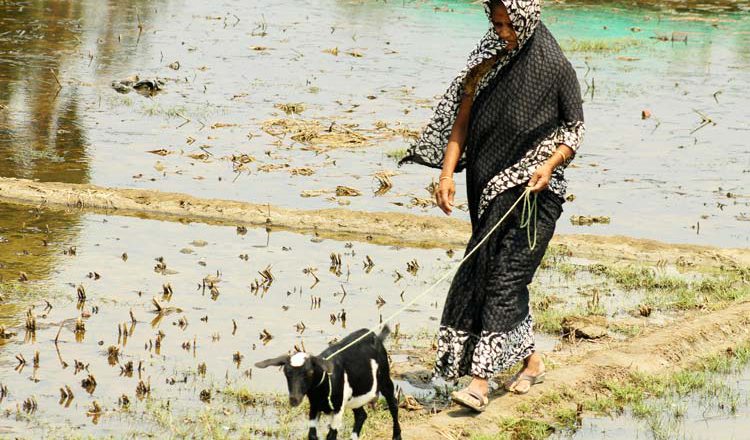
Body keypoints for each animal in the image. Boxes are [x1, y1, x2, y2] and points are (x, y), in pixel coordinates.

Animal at [256, 326, 402, 440]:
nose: (294, 400)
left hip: (385, 378)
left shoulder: (337, 409)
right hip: (353, 396)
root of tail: (375, 337)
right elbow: (312, 435)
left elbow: (331, 435)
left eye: (310, 372)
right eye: (286, 372)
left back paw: (397, 435)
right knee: (361, 415)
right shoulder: (314, 407)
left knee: (393, 405)